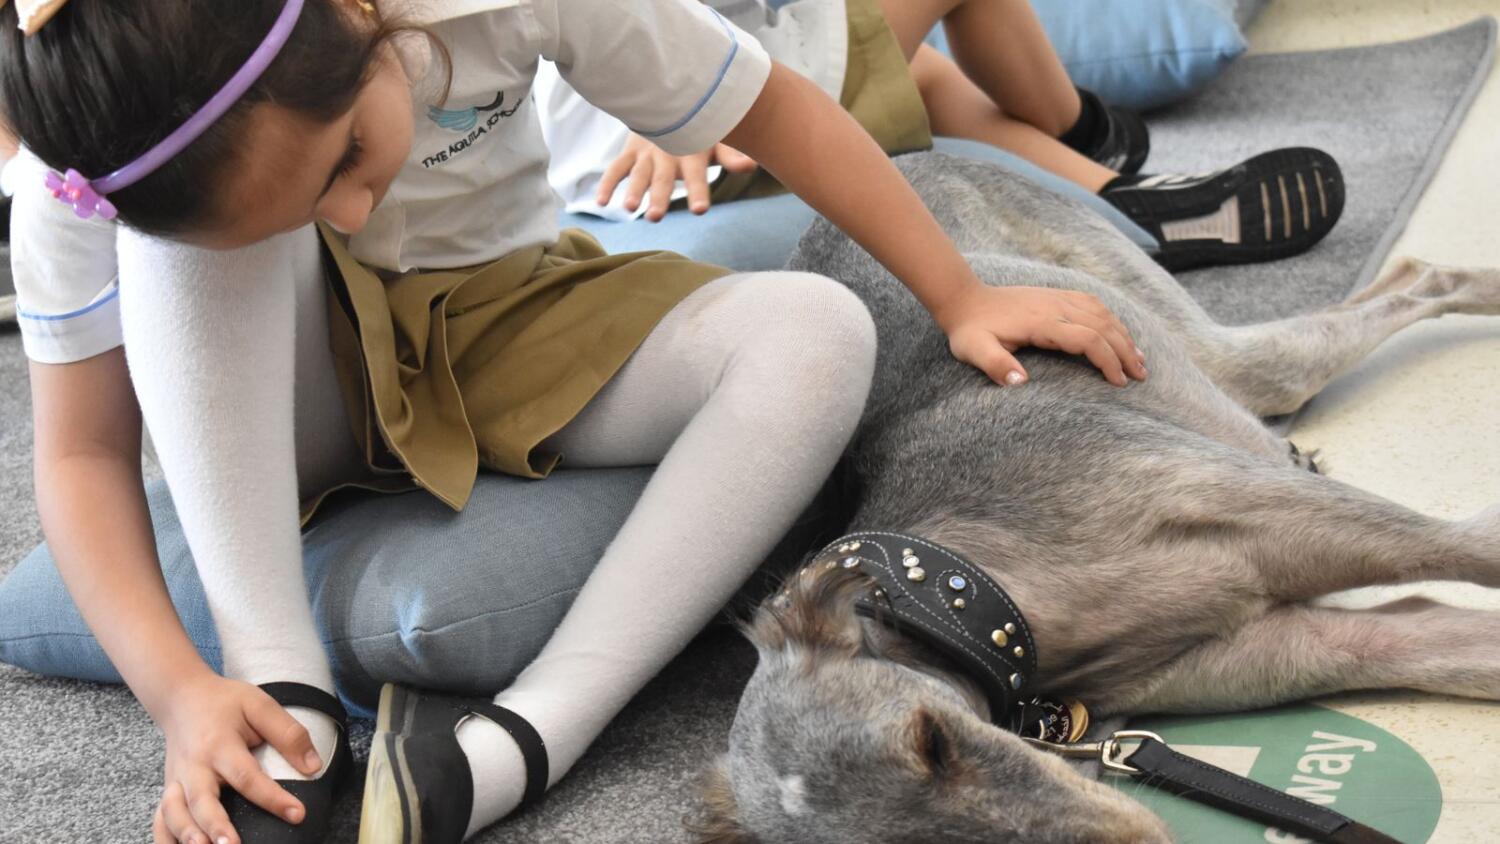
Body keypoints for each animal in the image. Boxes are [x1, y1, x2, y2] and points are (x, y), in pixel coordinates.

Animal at [687, 153, 1500, 844]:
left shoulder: (1292, 516)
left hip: (1180, 328)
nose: (1146, 837)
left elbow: (1475, 544)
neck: (983, 592)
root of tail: (909, 152)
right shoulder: (1297, 647)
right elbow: (1455, 649)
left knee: (1412, 280)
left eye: (931, 740)